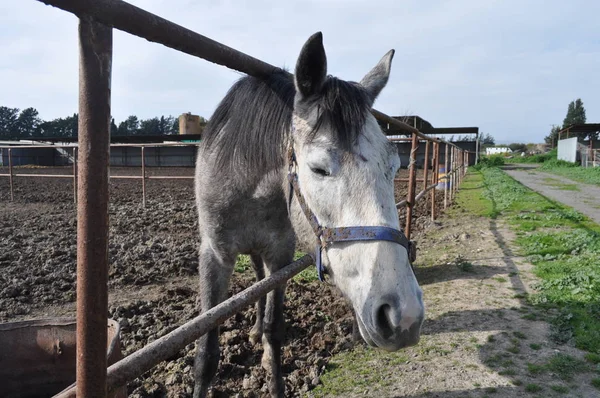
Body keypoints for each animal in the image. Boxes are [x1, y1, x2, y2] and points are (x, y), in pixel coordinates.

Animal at [195, 31, 424, 398]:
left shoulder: (280, 256)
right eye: (318, 168)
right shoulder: (213, 255)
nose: (403, 316)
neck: (245, 178)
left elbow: (275, 329)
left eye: (394, 167)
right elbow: (207, 352)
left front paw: (273, 380)